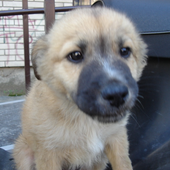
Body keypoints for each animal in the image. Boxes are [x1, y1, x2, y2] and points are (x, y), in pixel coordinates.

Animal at [13, 6, 147, 170]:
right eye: (76, 55)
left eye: (125, 51)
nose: (116, 95)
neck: (86, 121)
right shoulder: (48, 155)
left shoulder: (117, 140)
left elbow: (123, 164)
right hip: (23, 153)